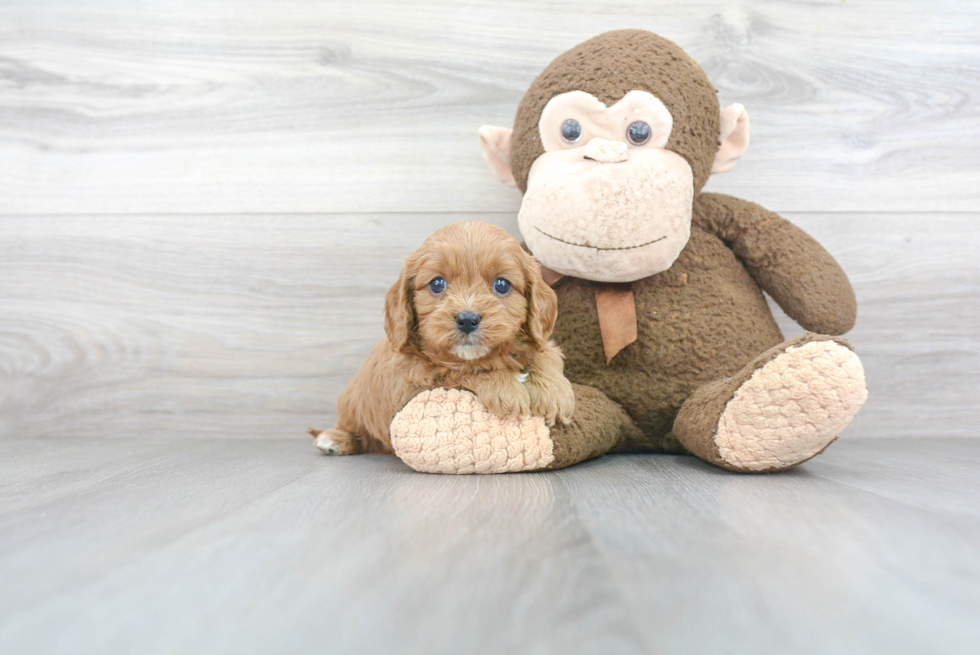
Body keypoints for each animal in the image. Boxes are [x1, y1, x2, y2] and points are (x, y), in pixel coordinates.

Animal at [310, 220, 576, 456]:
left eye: (502, 284)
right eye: (437, 283)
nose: (467, 319)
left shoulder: (545, 343)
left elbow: (545, 354)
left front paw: (554, 393)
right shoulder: (413, 382)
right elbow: (458, 371)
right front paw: (507, 389)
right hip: (352, 405)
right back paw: (334, 439)